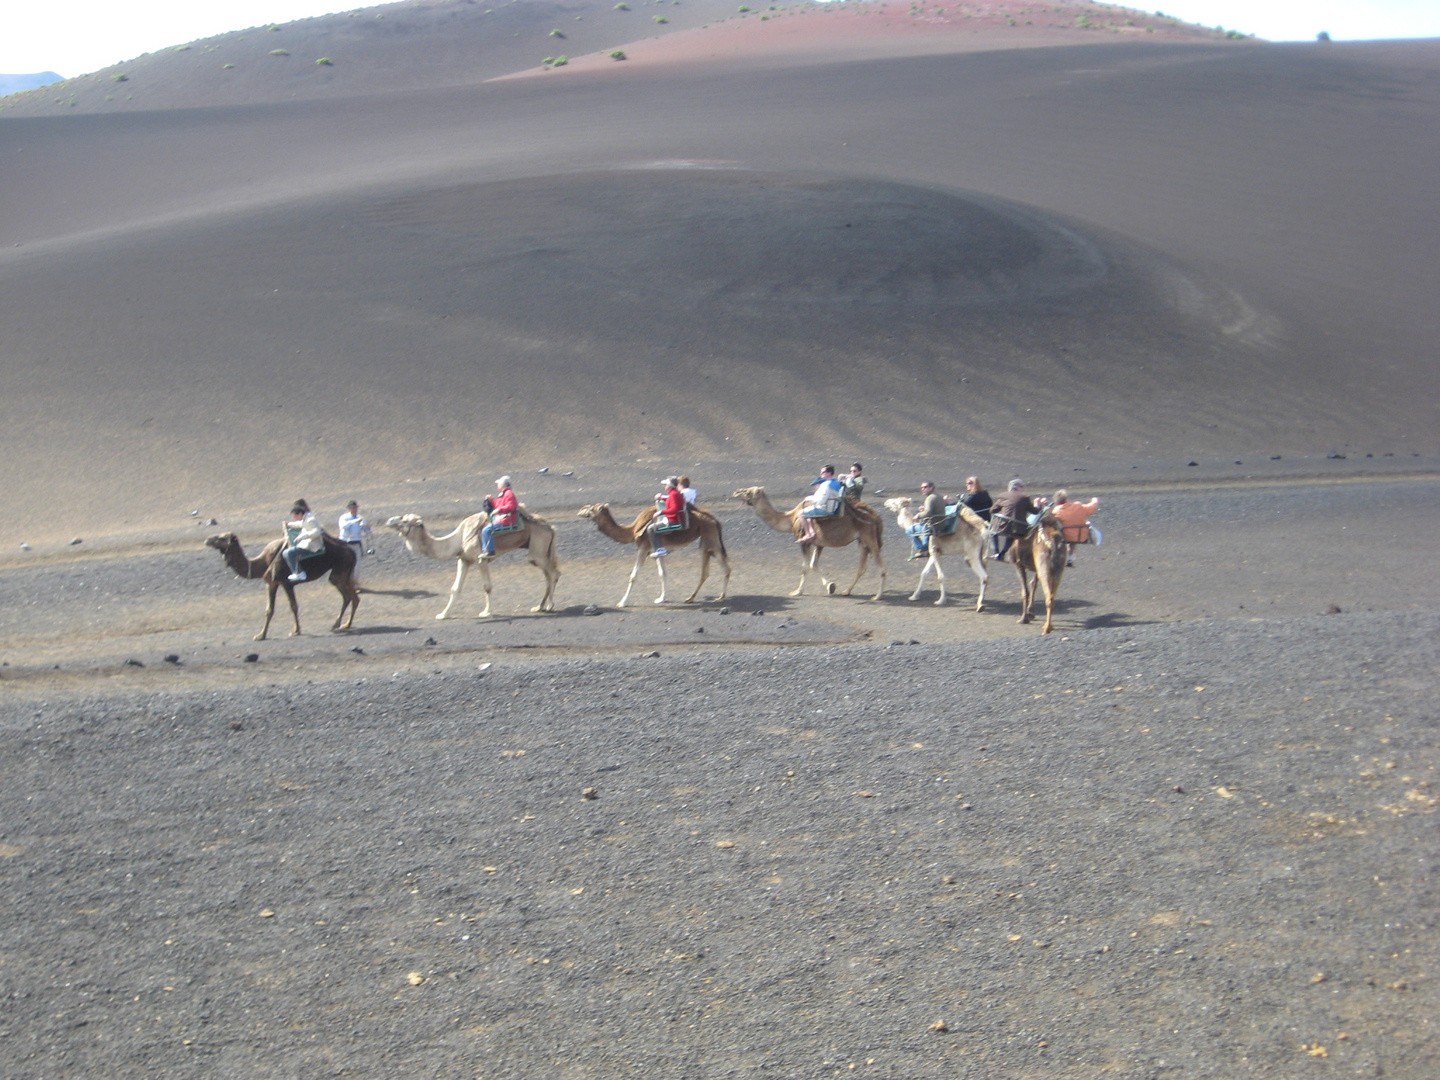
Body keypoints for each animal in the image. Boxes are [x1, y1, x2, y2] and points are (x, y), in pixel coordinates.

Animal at [207, 532, 360, 642]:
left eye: (222, 537)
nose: (207, 539)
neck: (263, 563)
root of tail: (351, 551)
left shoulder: (286, 583)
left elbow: (292, 606)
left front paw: (293, 631)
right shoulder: (272, 584)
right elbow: (270, 610)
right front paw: (262, 635)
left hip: (339, 570)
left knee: (347, 596)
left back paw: (336, 625)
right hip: (344, 572)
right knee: (354, 597)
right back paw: (346, 624)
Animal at [385, 512, 558, 622]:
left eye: (405, 521)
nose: (389, 521)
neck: (459, 538)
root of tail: (550, 527)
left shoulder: (481, 559)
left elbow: (487, 586)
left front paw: (487, 612)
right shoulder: (463, 559)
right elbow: (455, 588)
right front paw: (443, 614)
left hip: (538, 547)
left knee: (553, 573)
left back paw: (550, 605)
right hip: (539, 549)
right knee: (548, 574)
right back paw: (539, 607)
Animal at [576, 501, 731, 604]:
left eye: (592, 509)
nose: (580, 511)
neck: (632, 530)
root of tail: (715, 520)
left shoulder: (644, 547)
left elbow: (633, 576)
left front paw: (622, 602)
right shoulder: (656, 549)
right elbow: (662, 573)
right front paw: (661, 598)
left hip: (710, 536)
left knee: (724, 568)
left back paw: (719, 597)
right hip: (705, 540)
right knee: (707, 570)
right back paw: (693, 597)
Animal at [737, 489, 881, 601]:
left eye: (748, 492)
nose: (736, 492)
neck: (791, 519)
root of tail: (875, 516)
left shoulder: (805, 542)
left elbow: (805, 567)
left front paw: (797, 591)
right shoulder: (819, 543)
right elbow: (813, 565)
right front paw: (831, 586)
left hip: (868, 538)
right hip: (863, 541)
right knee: (863, 566)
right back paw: (849, 591)